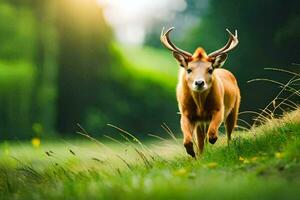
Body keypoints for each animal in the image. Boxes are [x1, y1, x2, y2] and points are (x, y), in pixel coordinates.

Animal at [161, 27, 240, 157]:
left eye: (210, 69)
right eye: (189, 69)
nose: (199, 83)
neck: (200, 106)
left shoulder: (219, 108)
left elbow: (211, 134)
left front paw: (212, 141)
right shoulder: (186, 113)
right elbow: (189, 141)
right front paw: (193, 153)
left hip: (234, 108)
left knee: (229, 132)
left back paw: (228, 149)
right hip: (200, 122)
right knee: (201, 139)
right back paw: (202, 154)